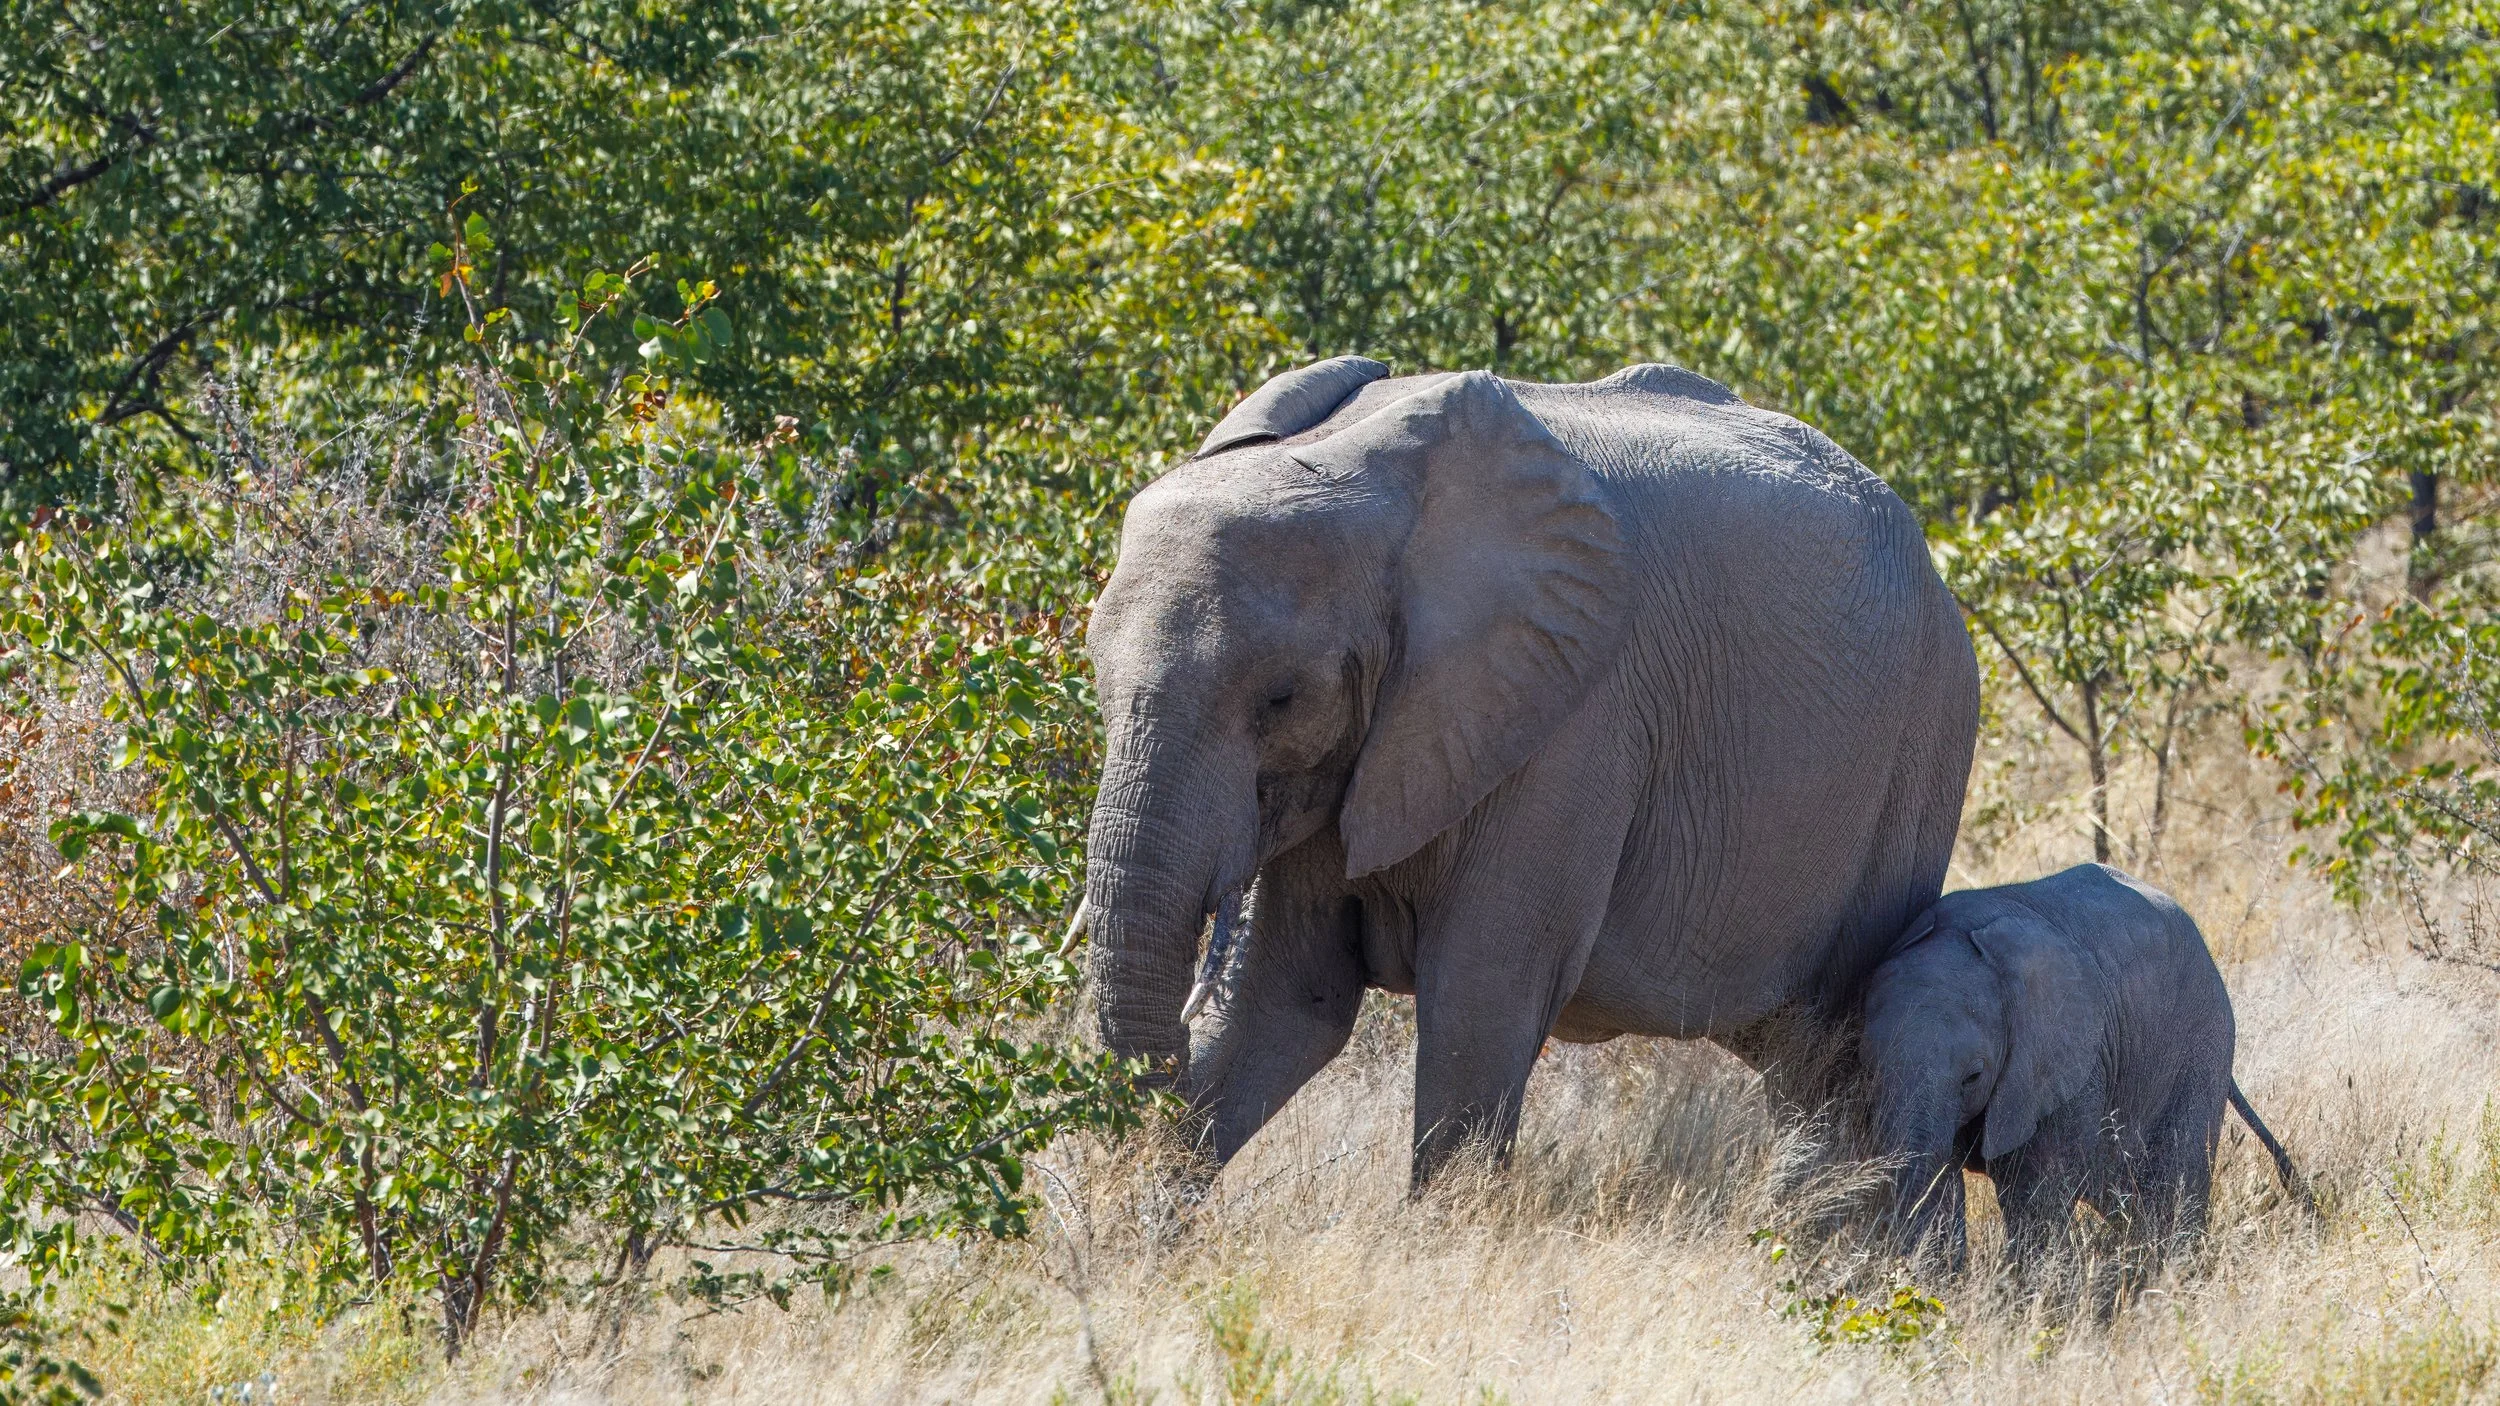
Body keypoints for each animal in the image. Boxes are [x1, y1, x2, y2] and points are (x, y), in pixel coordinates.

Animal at [1073, 355, 1980, 1185]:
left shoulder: (1577, 719)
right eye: (1094, 677)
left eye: (1282, 698)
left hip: (1924, 742)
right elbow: (1287, 1006)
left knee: (1834, 1061)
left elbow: (1479, 1002)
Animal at [1861, 863, 2305, 1270]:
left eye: (1974, 1076)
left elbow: (2033, 1191)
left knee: (2175, 1183)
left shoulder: (2062, 1062)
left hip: (2202, 1041)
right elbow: (1943, 1186)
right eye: (1867, 1068)